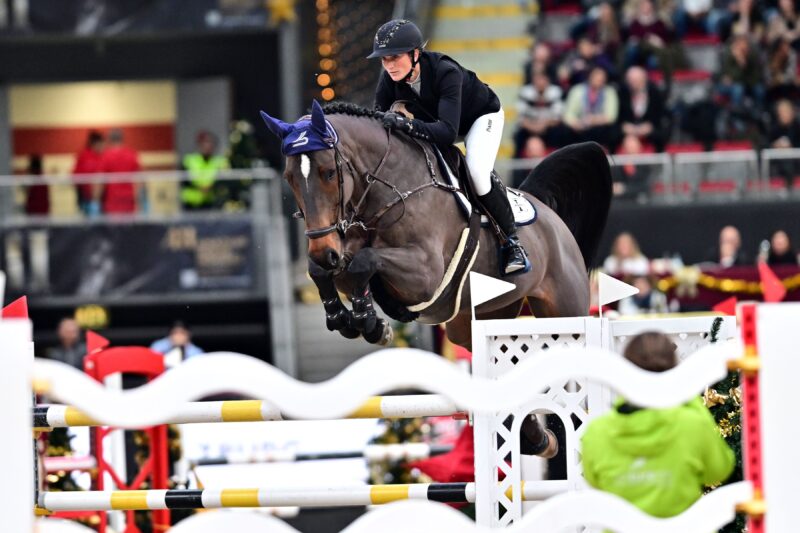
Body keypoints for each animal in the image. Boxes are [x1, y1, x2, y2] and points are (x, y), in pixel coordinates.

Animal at [262, 101, 612, 458]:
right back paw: (539, 438)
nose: (323, 251)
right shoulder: (343, 253)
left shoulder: (425, 273)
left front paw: (370, 323)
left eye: (329, 173)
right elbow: (330, 271)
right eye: (290, 178)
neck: (387, 190)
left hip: (564, 310)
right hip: (478, 319)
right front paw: (354, 319)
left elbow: (365, 261)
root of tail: (550, 217)